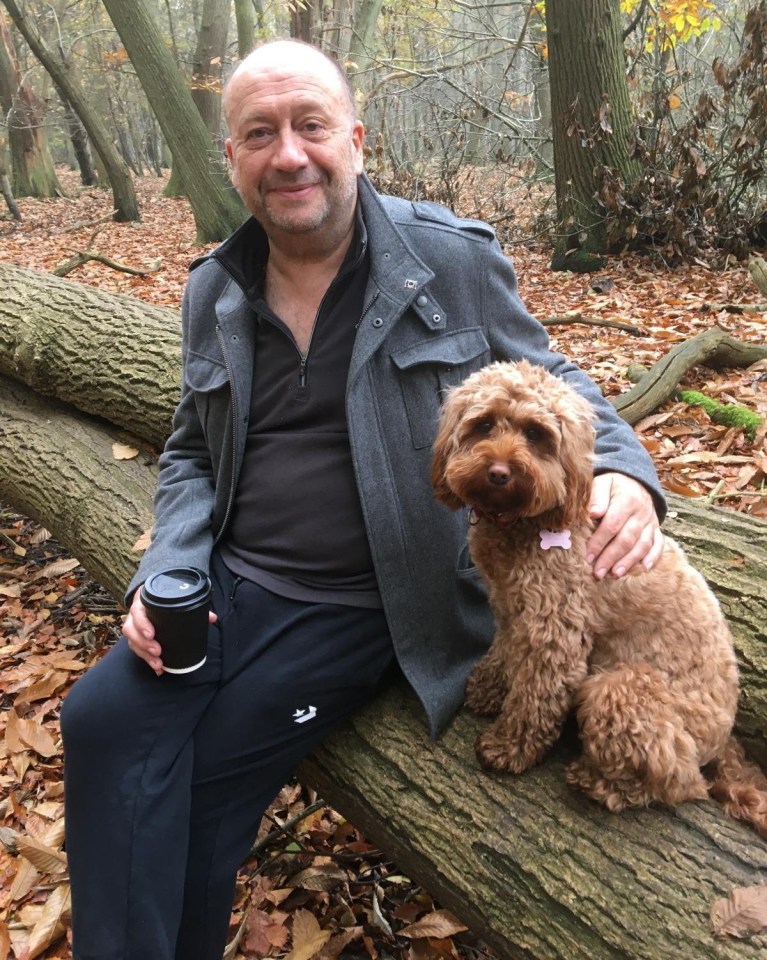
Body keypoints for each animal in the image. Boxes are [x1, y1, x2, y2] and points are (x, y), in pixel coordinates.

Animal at [432, 360, 767, 832]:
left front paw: (508, 747)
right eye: (483, 425)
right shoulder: (511, 607)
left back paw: (598, 782)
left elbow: (536, 697)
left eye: (536, 434)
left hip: (621, 690)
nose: (499, 471)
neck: (525, 523)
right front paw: (489, 687)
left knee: (680, 780)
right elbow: (504, 649)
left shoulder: (554, 630)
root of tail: (723, 743)